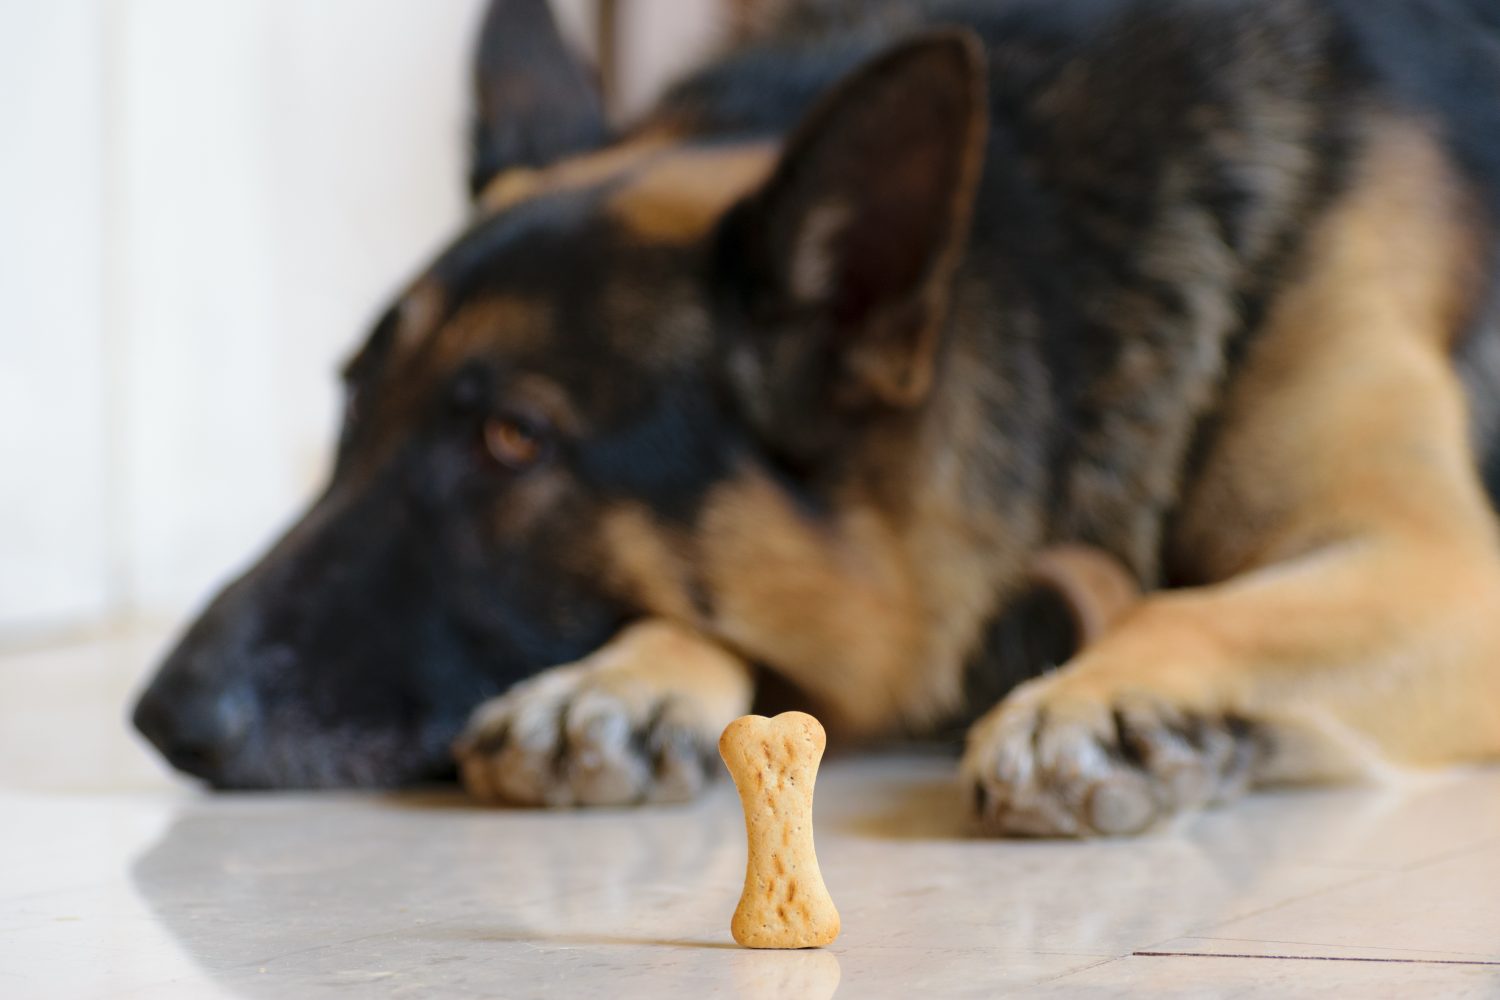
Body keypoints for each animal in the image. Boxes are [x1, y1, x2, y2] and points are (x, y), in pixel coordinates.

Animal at [132, 0, 1500, 839]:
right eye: (355, 406)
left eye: (513, 440)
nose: (163, 717)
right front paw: (628, 676)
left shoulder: (1445, 567)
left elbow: (1192, 607)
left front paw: (1091, 696)